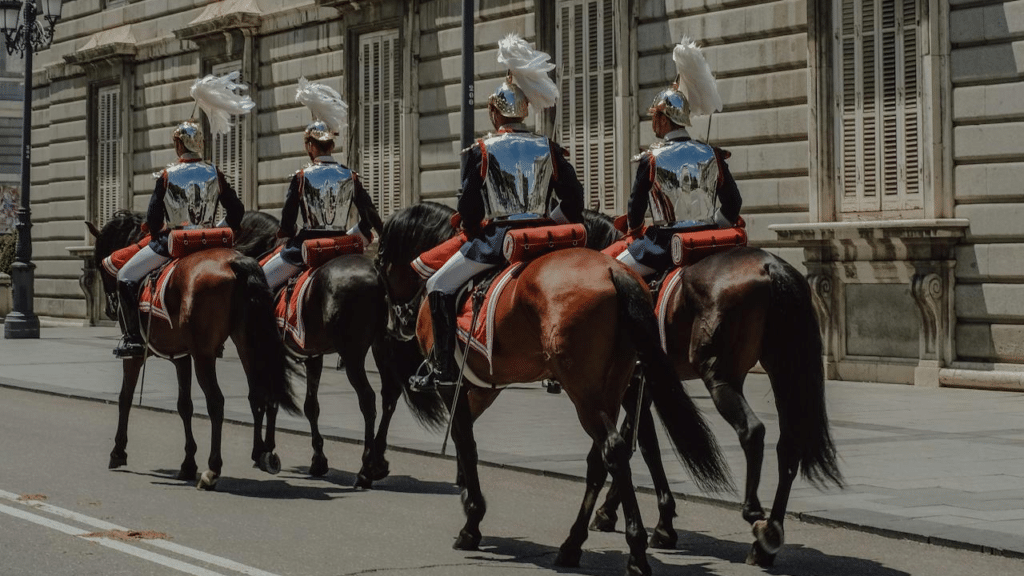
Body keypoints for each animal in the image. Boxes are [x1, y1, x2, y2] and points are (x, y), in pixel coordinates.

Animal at [88, 208, 299, 485]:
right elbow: (184, 405)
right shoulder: (181, 356)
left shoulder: (136, 357)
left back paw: (213, 469)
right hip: (245, 344)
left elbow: (125, 397)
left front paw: (118, 451)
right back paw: (262, 455)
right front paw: (188, 463)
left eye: (99, 263)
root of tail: (234, 262)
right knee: (258, 393)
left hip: (204, 355)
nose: (111, 310)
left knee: (217, 402)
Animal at [235, 210, 444, 483]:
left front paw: (263, 451)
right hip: (380, 346)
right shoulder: (313, 355)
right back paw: (378, 460)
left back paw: (366, 468)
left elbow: (264, 397)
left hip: (353, 353)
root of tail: (376, 274)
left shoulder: (261, 350)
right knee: (389, 396)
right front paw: (317, 460)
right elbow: (310, 406)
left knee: (368, 399)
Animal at [376, 199, 737, 569]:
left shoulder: (453, 385)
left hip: (586, 393)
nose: (395, 322)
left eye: (379, 260)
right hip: (609, 389)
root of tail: (614, 272)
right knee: (605, 457)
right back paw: (577, 543)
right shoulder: (485, 387)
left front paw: (471, 520)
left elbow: (466, 443)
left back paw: (631, 549)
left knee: (613, 449)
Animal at [581, 208, 843, 561]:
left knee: (752, 431)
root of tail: (770, 267)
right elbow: (635, 441)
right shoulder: (644, 388)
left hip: (718, 375)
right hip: (781, 371)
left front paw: (659, 524)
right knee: (787, 446)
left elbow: (646, 447)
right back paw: (767, 540)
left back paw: (754, 513)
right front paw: (617, 512)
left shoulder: (634, 386)